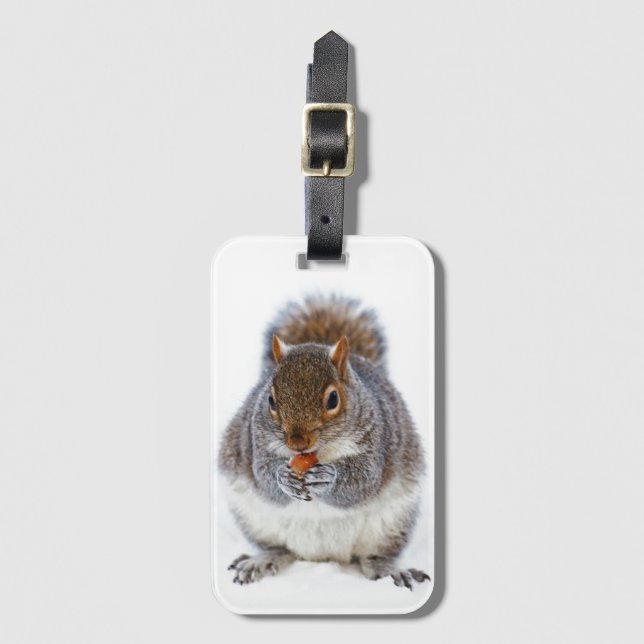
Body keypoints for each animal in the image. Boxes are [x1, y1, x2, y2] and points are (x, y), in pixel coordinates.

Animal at [218, 296, 430, 590]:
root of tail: (323, 555)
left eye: (333, 399)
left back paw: (388, 570)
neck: (318, 453)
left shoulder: (377, 441)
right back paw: (261, 560)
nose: (297, 443)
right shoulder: (254, 442)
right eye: (270, 400)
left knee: (373, 557)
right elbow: (263, 477)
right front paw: (283, 477)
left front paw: (328, 478)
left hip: (391, 524)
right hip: (255, 520)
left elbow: (363, 482)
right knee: (279, 548)